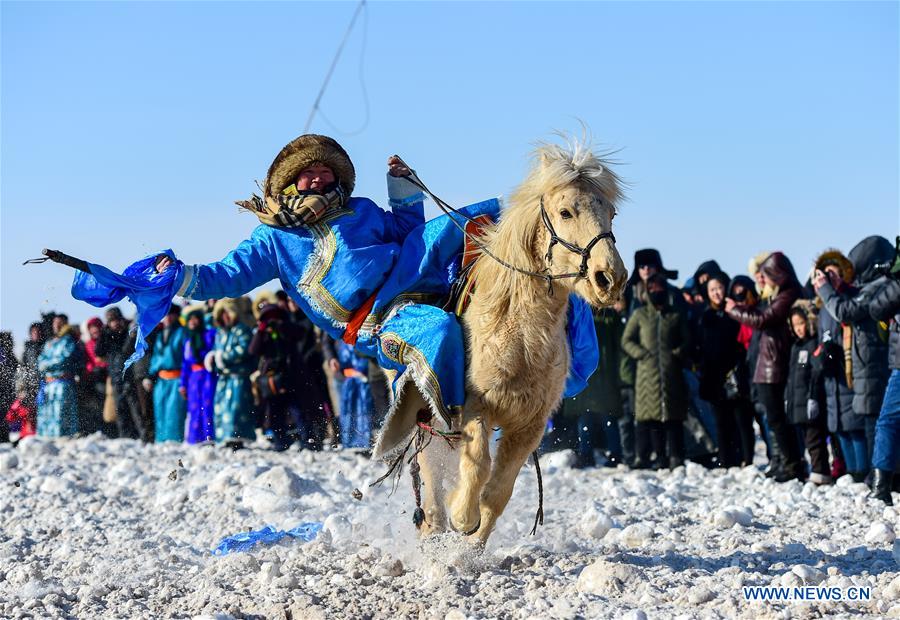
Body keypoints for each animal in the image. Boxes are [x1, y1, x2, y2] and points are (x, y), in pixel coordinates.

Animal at [414, 138, 624, 544]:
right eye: (565, 211)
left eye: (612, 213)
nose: (610, 278)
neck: (520, 339)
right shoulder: (475, 406)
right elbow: (477, 466)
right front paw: (461, 515)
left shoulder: (530, 424)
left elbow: (498, 493)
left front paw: (470, 545)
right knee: (430, 468)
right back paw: (433, 523)